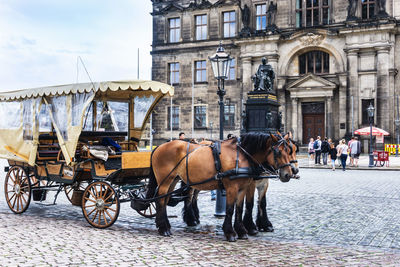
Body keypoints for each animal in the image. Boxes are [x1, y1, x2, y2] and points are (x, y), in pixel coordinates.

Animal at [145, 132, 292, 243]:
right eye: (278, 152)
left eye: (290, 150)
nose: (289, 173)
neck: (241, 155)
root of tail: (159, 147)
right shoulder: (232, 187)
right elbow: (230, 209)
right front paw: (230, 232)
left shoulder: (243, 188)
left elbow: (239, 209)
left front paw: (241, 231)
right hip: (165, 181)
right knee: (160, 200)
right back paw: (164, 228)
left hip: (173, 180)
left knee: (165, 200)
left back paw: (165, 225)